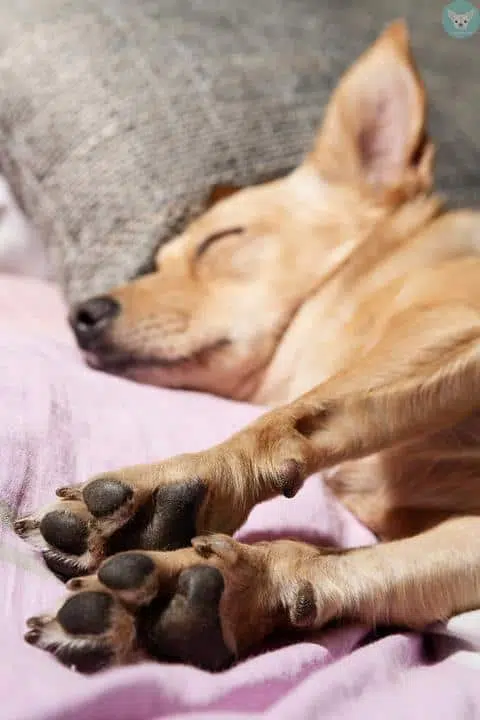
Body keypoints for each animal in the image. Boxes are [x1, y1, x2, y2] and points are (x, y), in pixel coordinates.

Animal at [14, 22, 480, 672]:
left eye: (221, 241)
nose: (81, 314)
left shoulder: (453, 321)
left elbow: (291, 417)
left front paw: (176, 486)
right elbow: (363, 564)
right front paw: (238, 590)